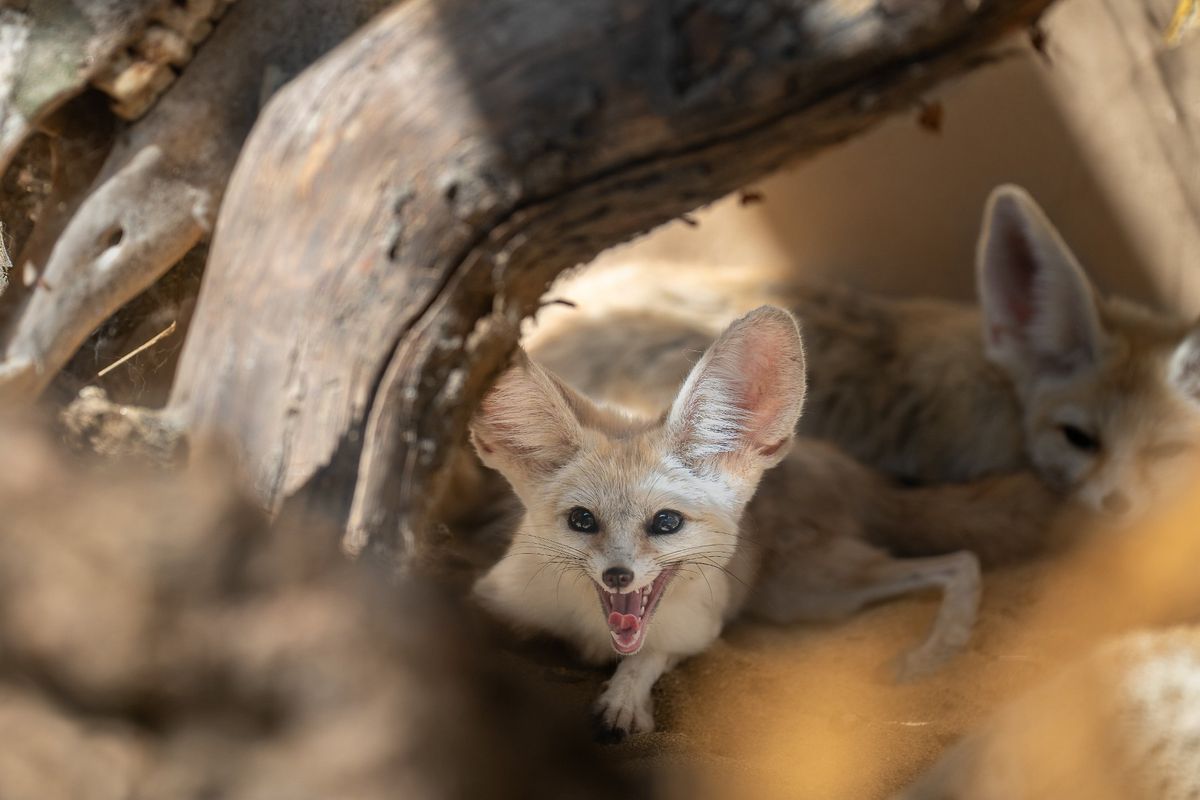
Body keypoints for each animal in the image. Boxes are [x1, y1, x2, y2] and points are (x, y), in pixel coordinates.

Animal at [472, 304, 1056, 738]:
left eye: (666, 522)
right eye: (582, 520)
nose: (618, 576)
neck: (595, 635)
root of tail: (831, 456)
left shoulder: (698, 632)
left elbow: (648, 659)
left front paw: (624, 700)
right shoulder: (493, 599)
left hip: (810, 590)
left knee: (960, 560)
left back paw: (937, 649)